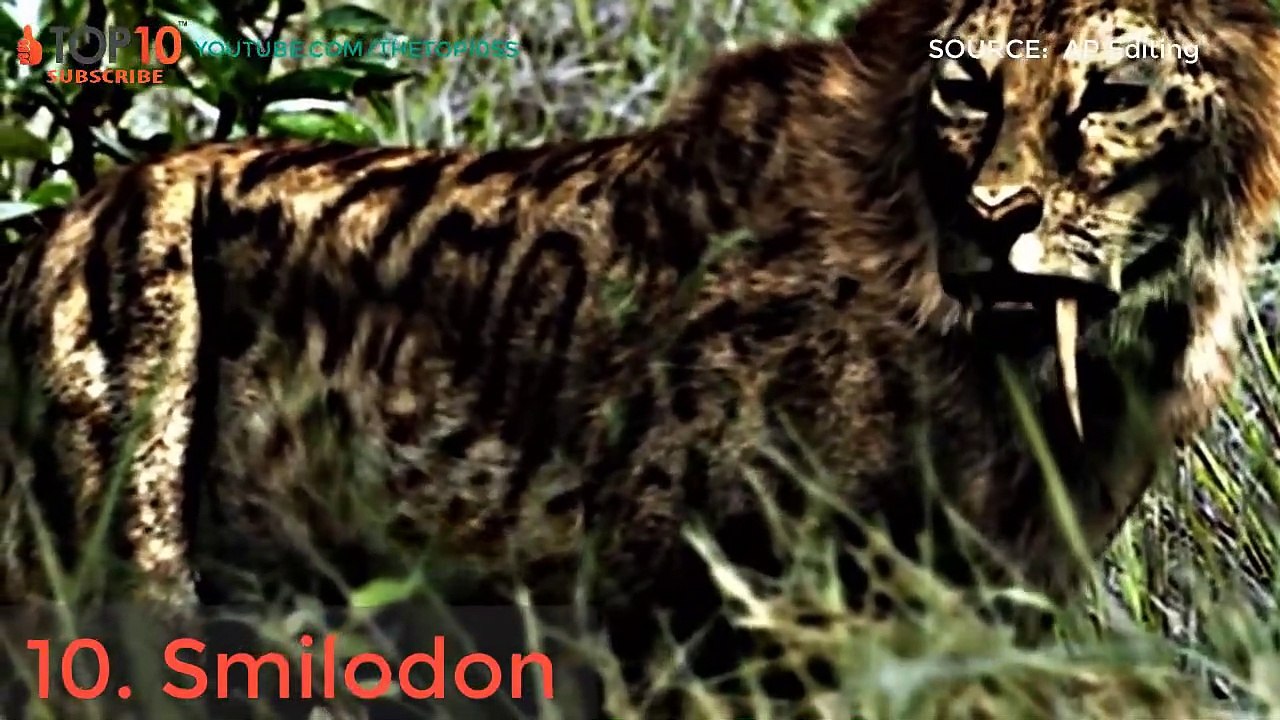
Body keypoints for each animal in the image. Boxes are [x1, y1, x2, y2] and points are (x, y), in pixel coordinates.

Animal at [1, 0, 1279, 716]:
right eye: (967, 90)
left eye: (1113, 91)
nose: (1004, 217)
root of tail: (55, 231)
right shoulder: (689, 625)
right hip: (115, 585)